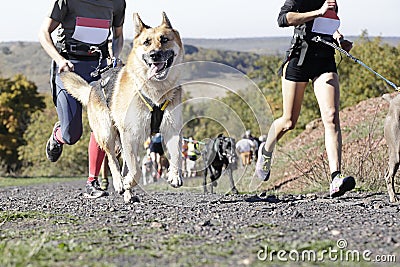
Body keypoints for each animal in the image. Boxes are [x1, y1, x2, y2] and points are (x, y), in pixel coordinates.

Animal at [60, 11, 185, 202]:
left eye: (164, 39)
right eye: (147, 42)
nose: (154, 55)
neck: (155, 91)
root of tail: (93, 86)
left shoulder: (172, 129)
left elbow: (176, 155)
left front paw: (174, 175)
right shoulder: (131, 135)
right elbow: (135, 170)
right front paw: (126, 183)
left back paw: (128, 193)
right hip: (107, 134)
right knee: (112, 160)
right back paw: (120, 184)